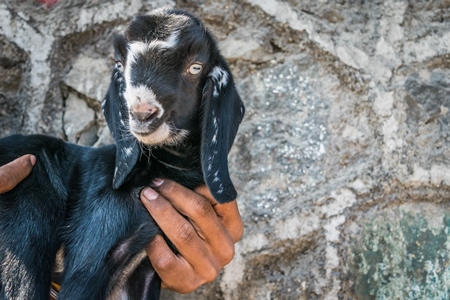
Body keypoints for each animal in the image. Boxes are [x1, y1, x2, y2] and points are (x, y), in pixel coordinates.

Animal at [0, 8, 243, 298]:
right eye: (120, 63)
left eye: (195, 67)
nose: (142, 114)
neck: (167, 167)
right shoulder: (95, 246)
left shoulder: (144, 269)